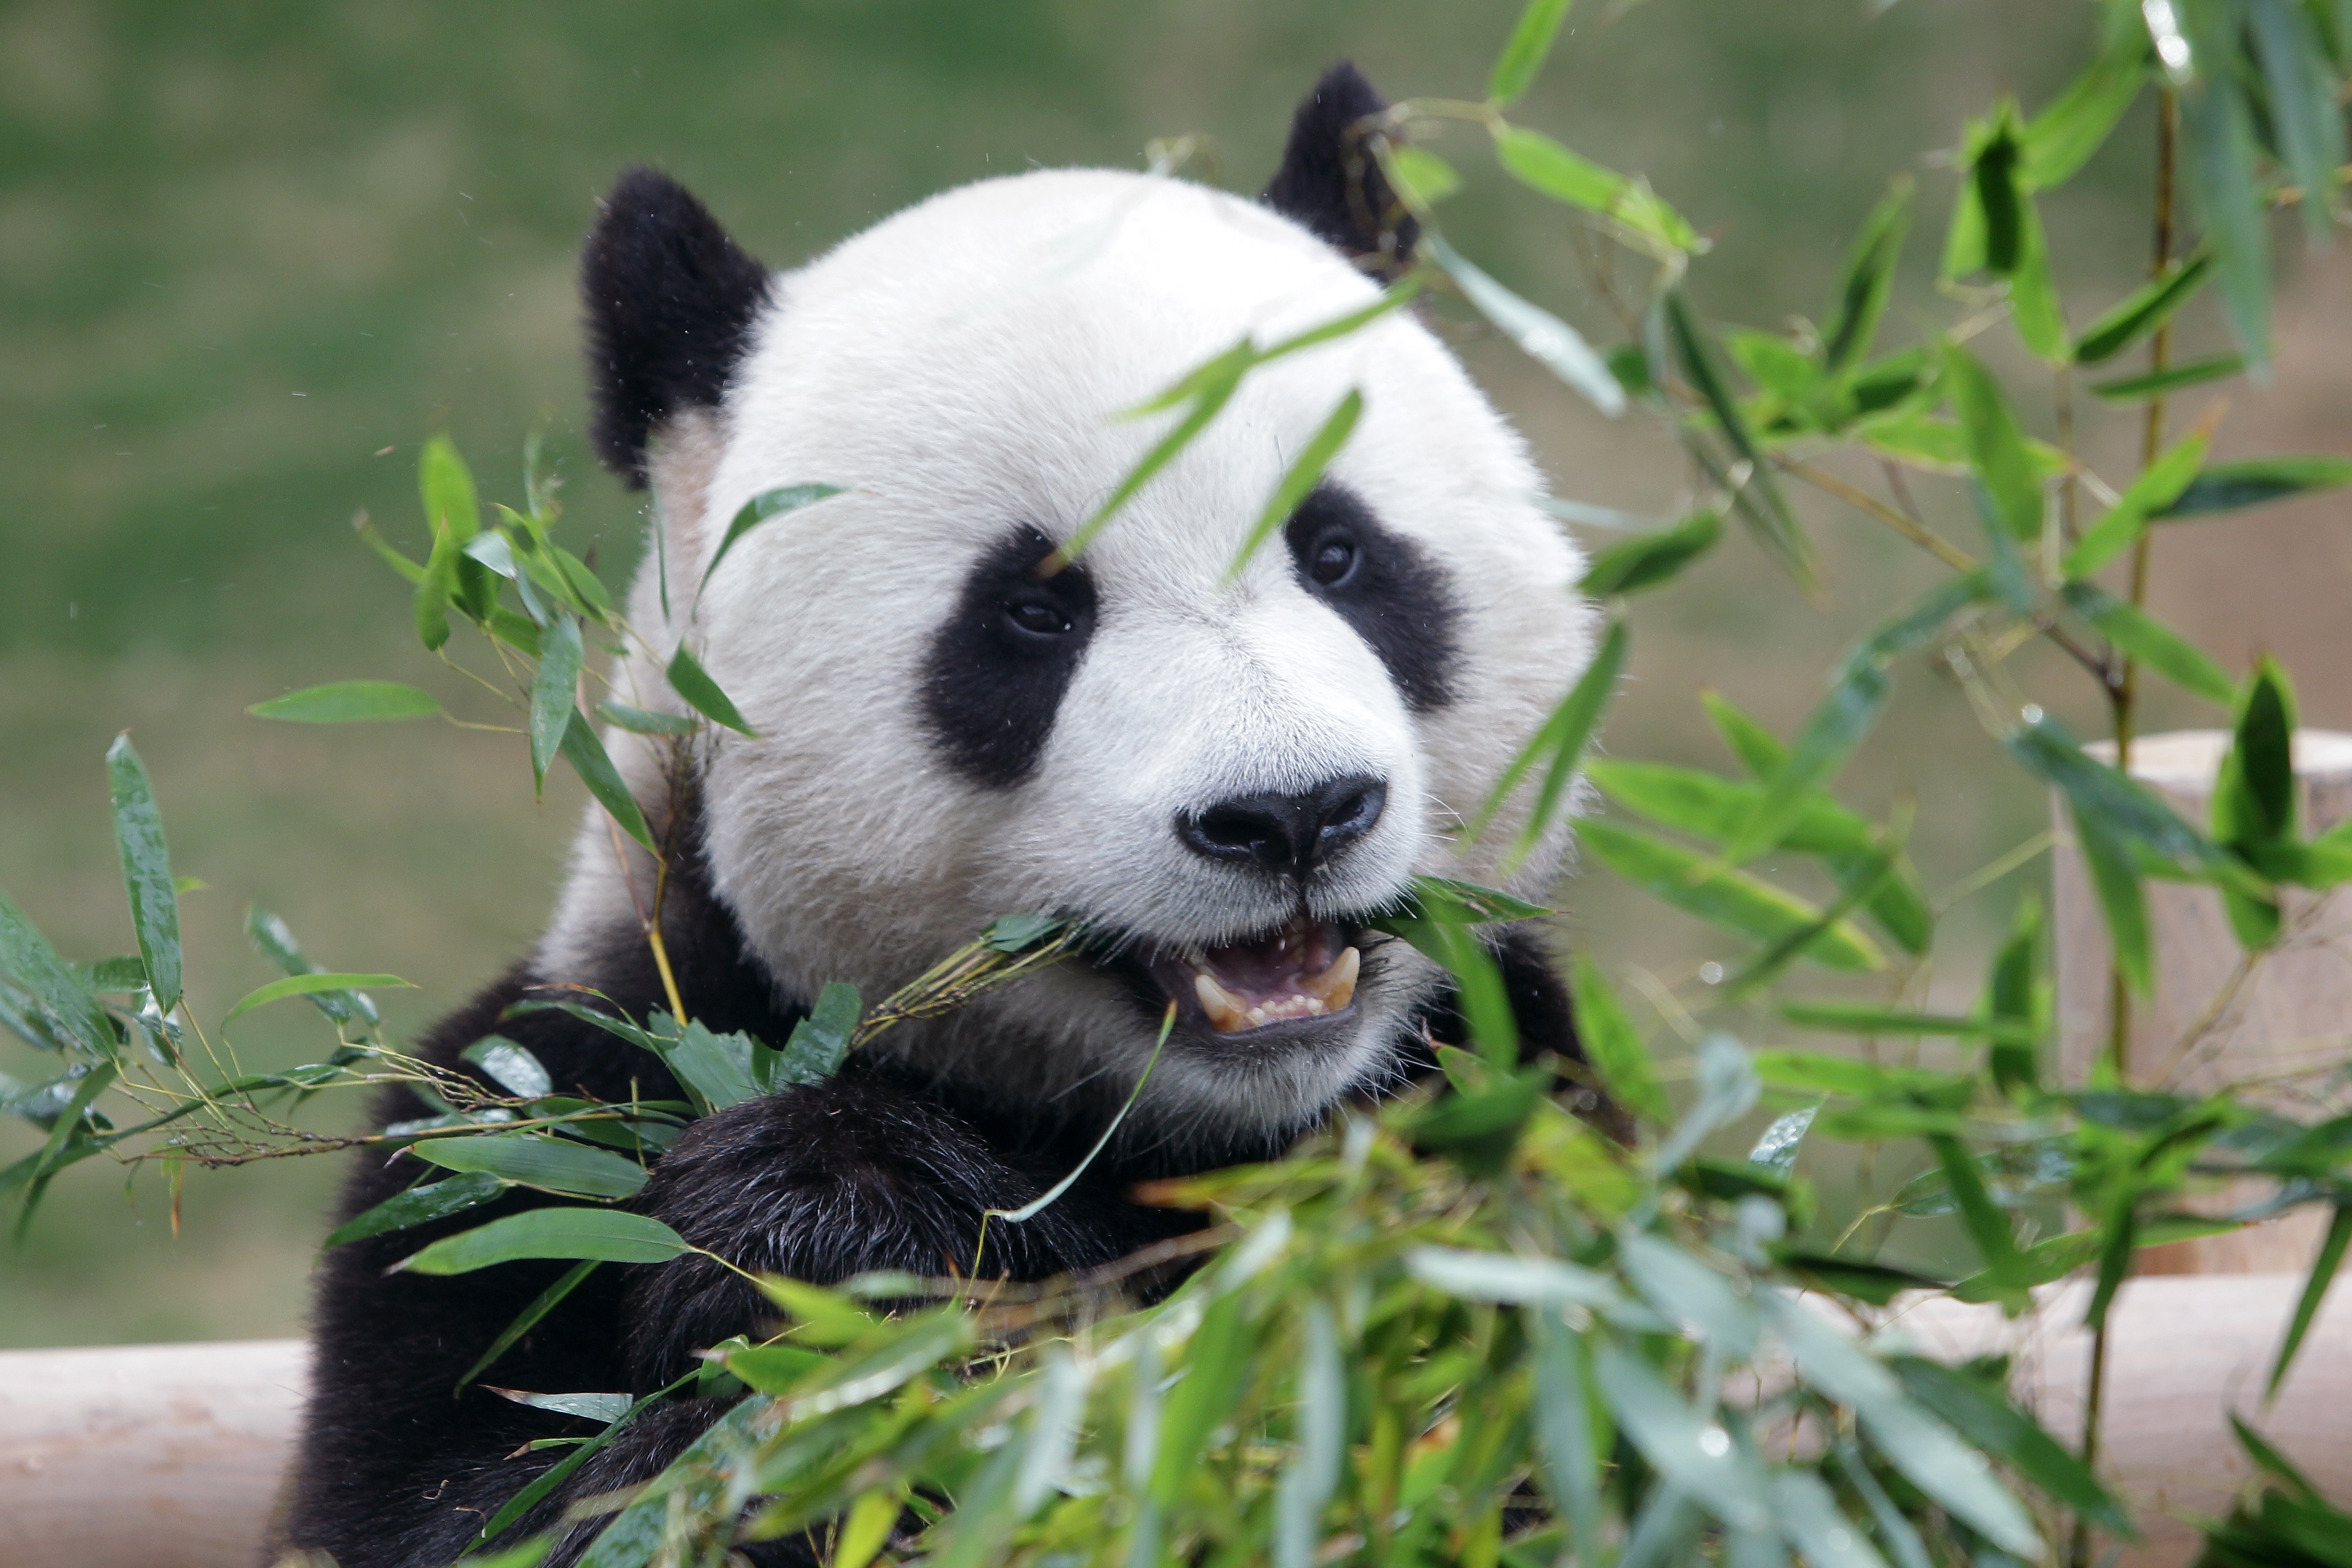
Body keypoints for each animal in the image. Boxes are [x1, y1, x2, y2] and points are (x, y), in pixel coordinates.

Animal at [282, 63, 1605, 1568]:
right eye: (1033, 611)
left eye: (1340, 553)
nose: (1290, 814)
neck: (1187, 1138)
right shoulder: (522, 1131)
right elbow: (485, 1493)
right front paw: (844, 1234)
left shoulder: (1508, 1089)